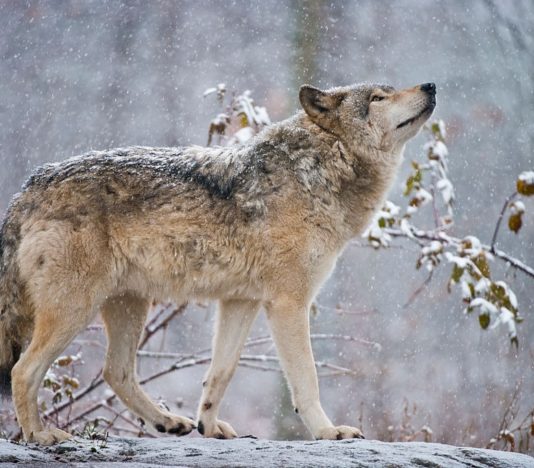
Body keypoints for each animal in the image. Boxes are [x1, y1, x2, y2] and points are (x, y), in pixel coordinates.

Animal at [0, 80, 436, 442]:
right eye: (378, 97)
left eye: (389, 90)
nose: (430, 85)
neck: (320, 169)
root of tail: (26, 189)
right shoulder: (288, 303)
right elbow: (306, 378)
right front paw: (328, 432)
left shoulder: (240, 301)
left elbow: (220, 373)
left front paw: (207, 427)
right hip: (75, 309)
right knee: (24, 371)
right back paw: (40, 435)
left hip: (129, 304)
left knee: (115, 372)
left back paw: (167, 422)